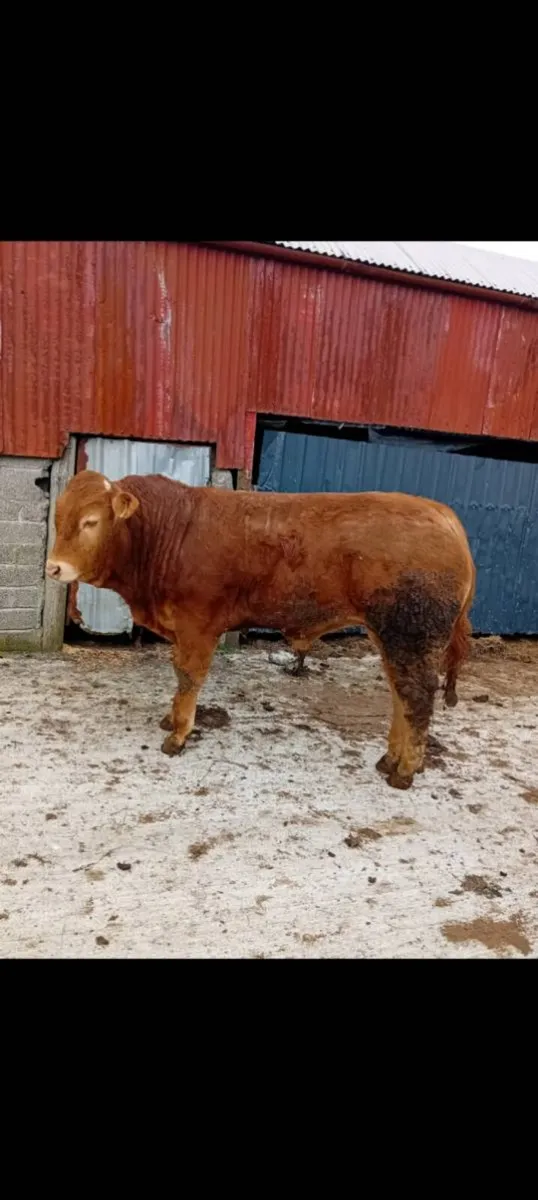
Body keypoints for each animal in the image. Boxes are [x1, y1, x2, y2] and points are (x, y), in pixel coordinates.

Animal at [46, 470, 476, 790]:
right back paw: (390, 759)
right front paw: (171, 719)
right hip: (392, 637)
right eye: (59, 517)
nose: (54, 567)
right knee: (402, 696)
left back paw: (404, 771)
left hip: (410, 635)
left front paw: (178, 734)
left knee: (417, 697)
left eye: (90, 521)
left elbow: (188, 678)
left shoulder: (198, 625)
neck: (169, 533)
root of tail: (441, 514)